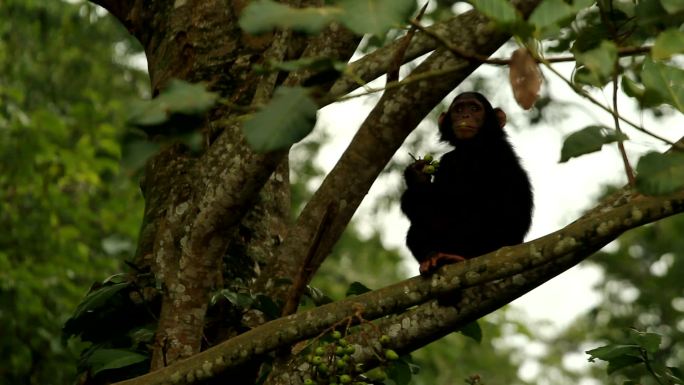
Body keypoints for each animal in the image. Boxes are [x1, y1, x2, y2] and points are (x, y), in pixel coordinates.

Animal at [400, 92, 536, 274]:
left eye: (474, 108)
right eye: (458, 110)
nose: (465, 115)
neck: (473, 145)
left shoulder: (469, 159)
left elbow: (445, 204)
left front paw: (416, 179)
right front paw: (417, 172)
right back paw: (431, 257)